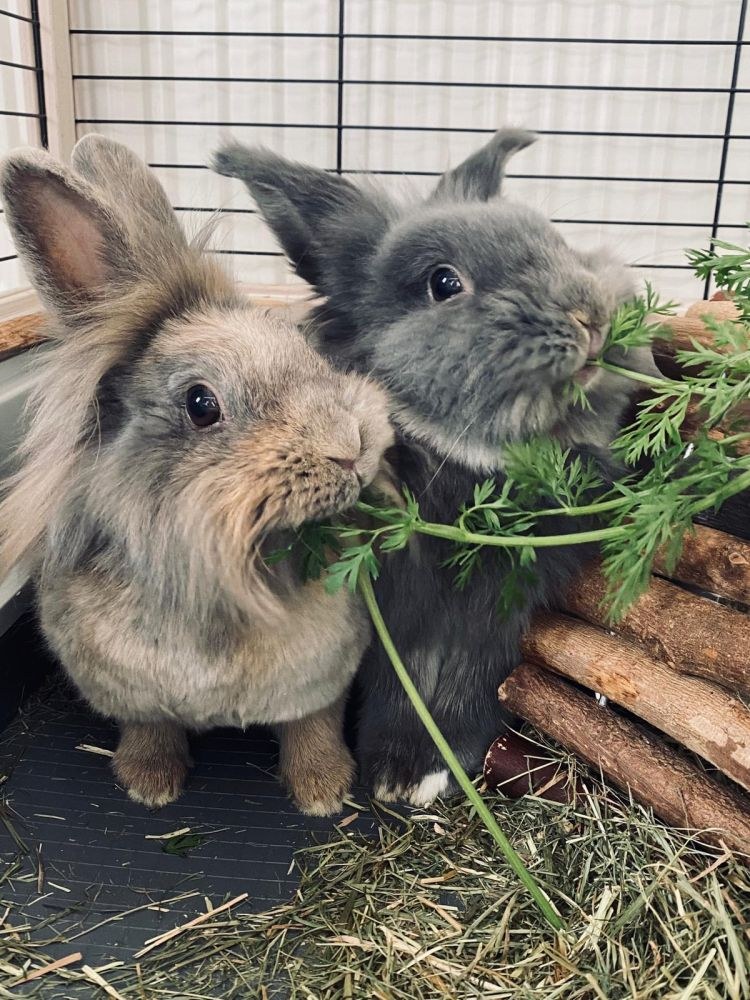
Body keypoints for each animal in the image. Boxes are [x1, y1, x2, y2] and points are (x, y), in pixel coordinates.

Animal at [0, 135, 394, 816]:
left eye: (310, 358)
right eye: (201, 404)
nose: (350, 448)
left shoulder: (321, 679)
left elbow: (311, 728)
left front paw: (323, 791)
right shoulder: (127, 690)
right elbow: (150, 728)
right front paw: (148, 785)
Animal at [213, 128, 658, 806]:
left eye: (557, 240)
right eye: (443, 283)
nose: (591, 316)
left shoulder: (498, 611)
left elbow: (468, 678)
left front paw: (439, 762)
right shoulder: (392, 609)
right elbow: (402, 681)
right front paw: (394, 772)